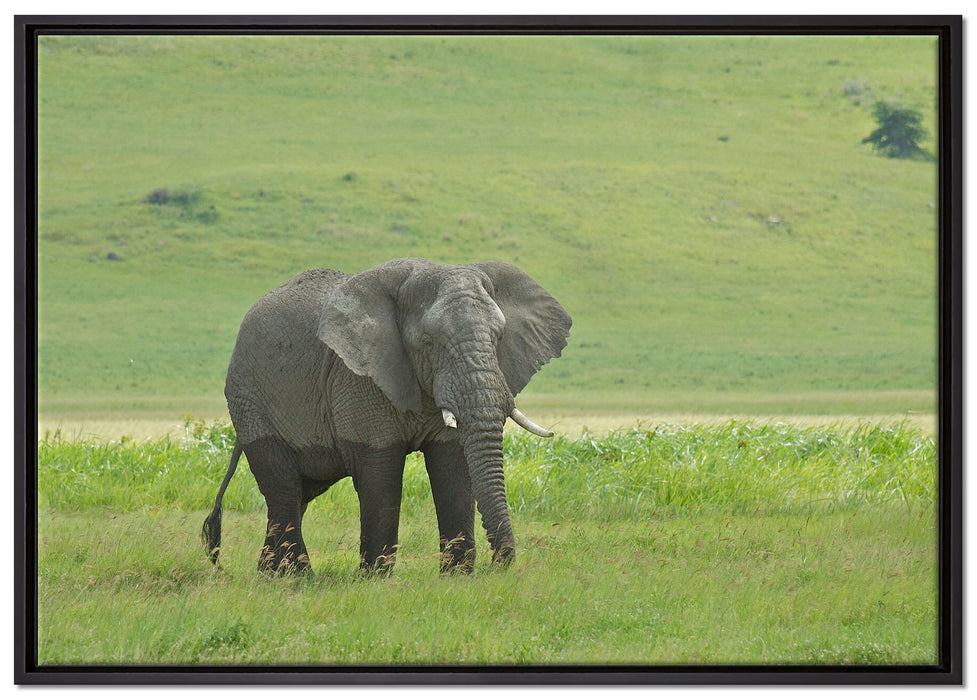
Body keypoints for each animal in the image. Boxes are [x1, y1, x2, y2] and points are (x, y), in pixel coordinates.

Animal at [202, 257, 572, 576]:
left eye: (499, 337)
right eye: (428, 341)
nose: (499, 564)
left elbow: (453, 466)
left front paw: (457, 577)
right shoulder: (357, 376)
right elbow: (380, 472)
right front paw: (376, 578)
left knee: (300, 493)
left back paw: (270, 575)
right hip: (250, 400)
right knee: (284, 487)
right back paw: (298, 577)